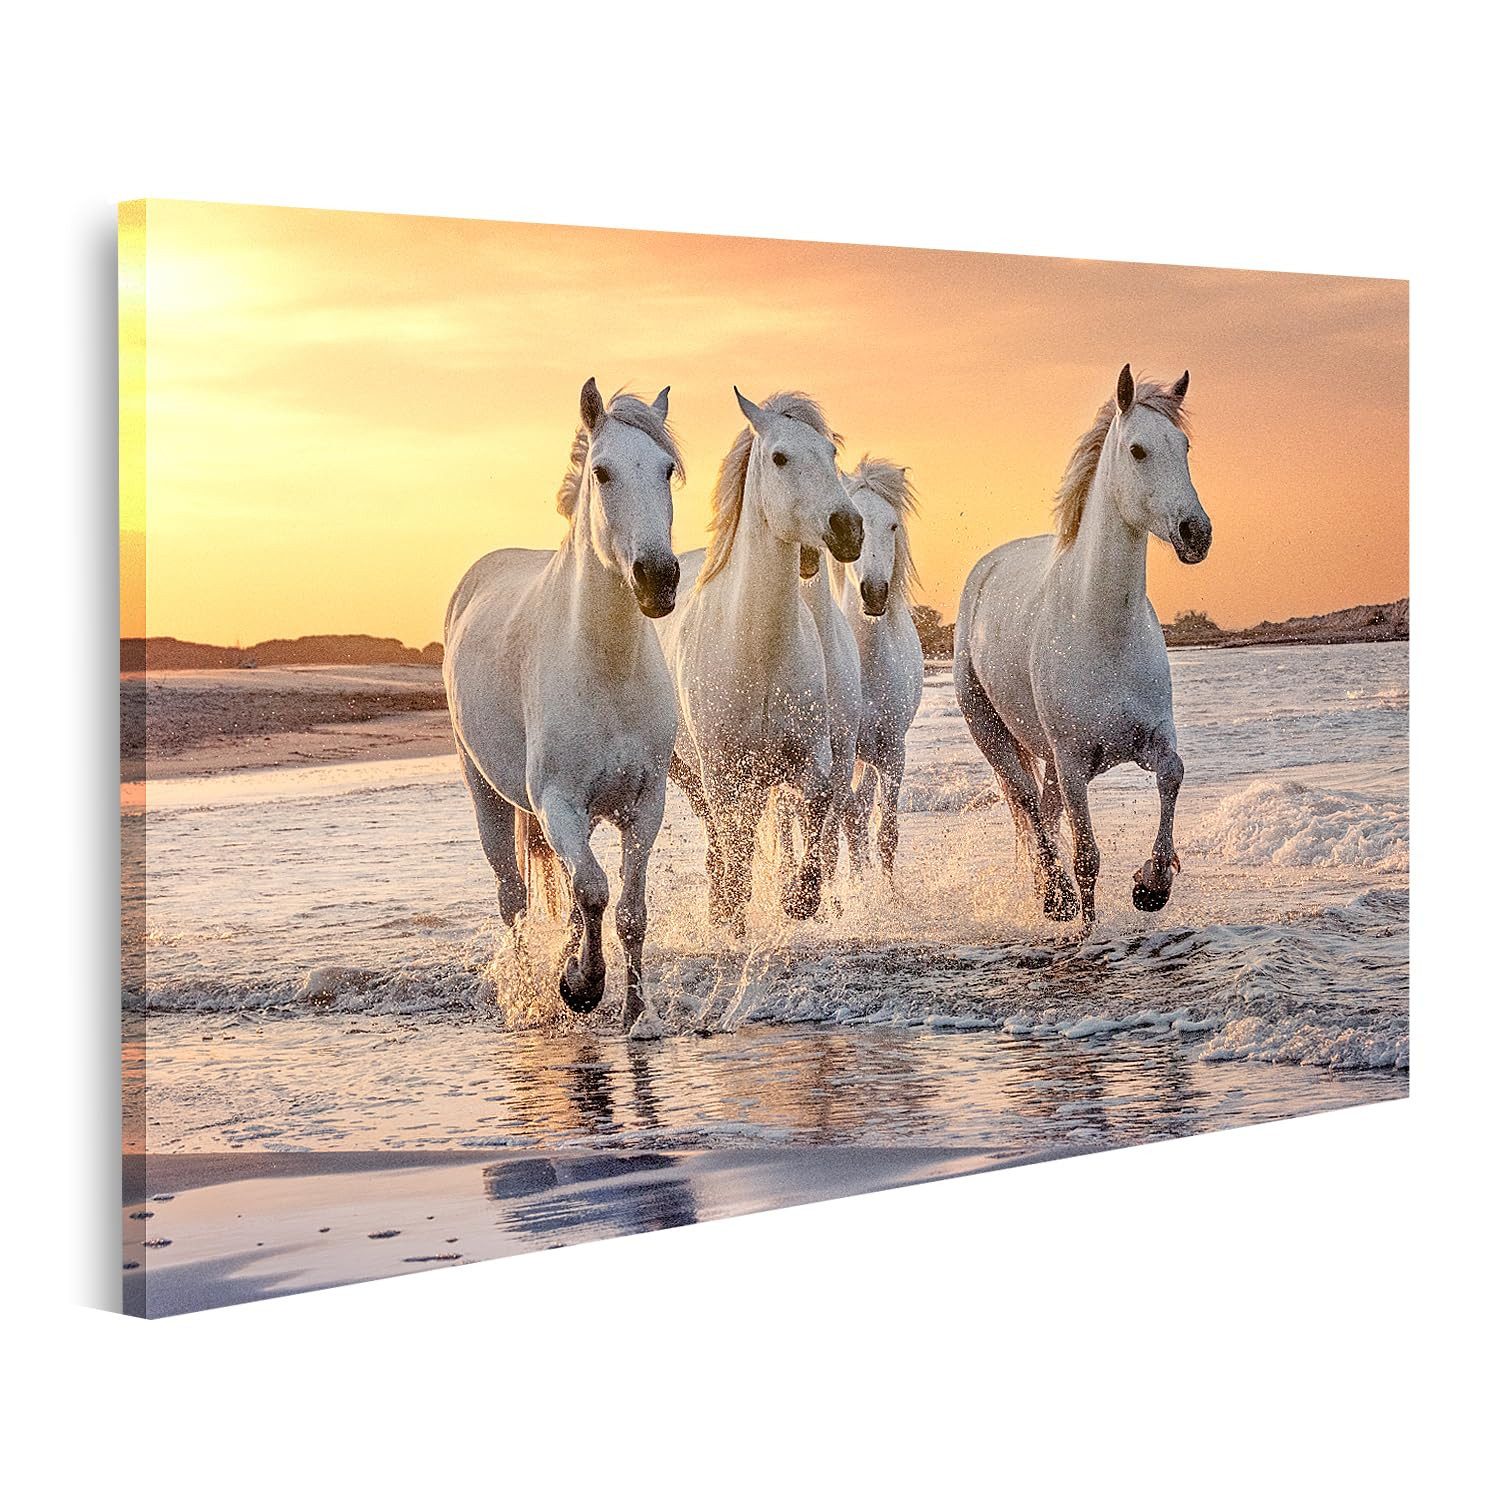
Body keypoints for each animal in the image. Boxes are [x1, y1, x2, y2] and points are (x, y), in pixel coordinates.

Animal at [444, 379, 683, 1030]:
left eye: (667, 469)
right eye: (602, 472)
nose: (658, 578)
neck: (603, 668)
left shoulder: (644, 804)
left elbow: (627, 909)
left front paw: (634, 1013)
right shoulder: (558, 802)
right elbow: (595, 892)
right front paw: (581, 986)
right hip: (490, 798)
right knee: (515, 899)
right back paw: (532, 989)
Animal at [655, 389, 864, 937]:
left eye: (831, 453)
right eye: (779, 457)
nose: (849, 528)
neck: (758, 653)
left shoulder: (813, 758)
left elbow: (816, 814)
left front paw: (799, 900)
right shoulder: (724, 772)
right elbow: (737, 845)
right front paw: (733, 912)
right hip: (689, 772)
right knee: (719, 836)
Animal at [953, 365, 1212, 924]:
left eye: (1183, 445)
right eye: (1137, 450)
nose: (1196, 533)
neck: (1102, 629)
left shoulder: (1151, 739)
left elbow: (1174, 775)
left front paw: (1151, 886)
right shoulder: (1073, 762)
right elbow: (1087, 858)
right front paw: (1085, 920)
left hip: (1046, 755)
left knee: (1042, 812)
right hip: (993, 733)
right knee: (1029, 805)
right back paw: (1055, 897)